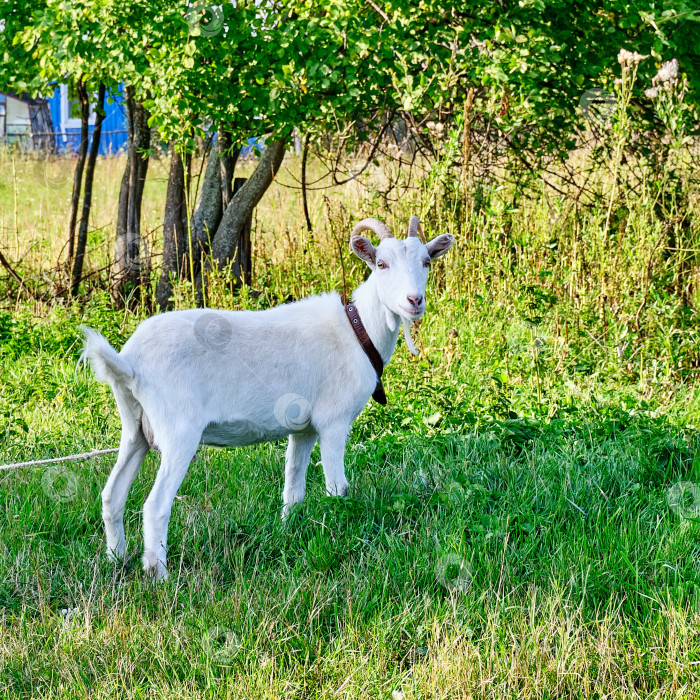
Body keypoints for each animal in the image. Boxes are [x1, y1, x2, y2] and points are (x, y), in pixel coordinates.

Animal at [80, 216, 454, 576]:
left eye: (425, 261)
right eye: (382, 264)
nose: (414, 301)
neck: (357, 330)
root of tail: (130, 363)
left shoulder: (304, 429)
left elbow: (293, 489)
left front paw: (289, 532)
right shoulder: (333, 422)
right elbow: (338, 488)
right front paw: (340, 534)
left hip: (135, 428)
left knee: (112, 496)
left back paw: (117, 559)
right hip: (178, 431)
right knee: (155, 505)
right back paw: (159, 574)